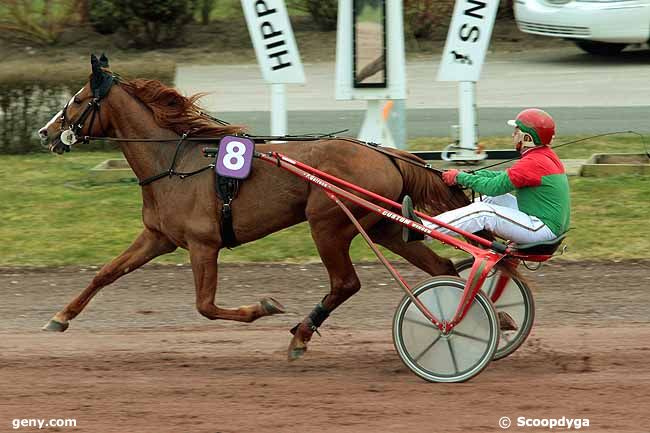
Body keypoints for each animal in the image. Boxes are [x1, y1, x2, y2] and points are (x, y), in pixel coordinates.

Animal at [38, 54, 466, 358]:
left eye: (77, 100)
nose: (45, 132)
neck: (174, 165)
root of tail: (387, 154)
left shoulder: (203, 244)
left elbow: (205, 306)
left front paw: (264, 306)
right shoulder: (158, 237)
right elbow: (106, 273)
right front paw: (59, 318)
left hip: (328, 224)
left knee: (346, 282)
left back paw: (302, 334)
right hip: (384, 226)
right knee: (441, 266)